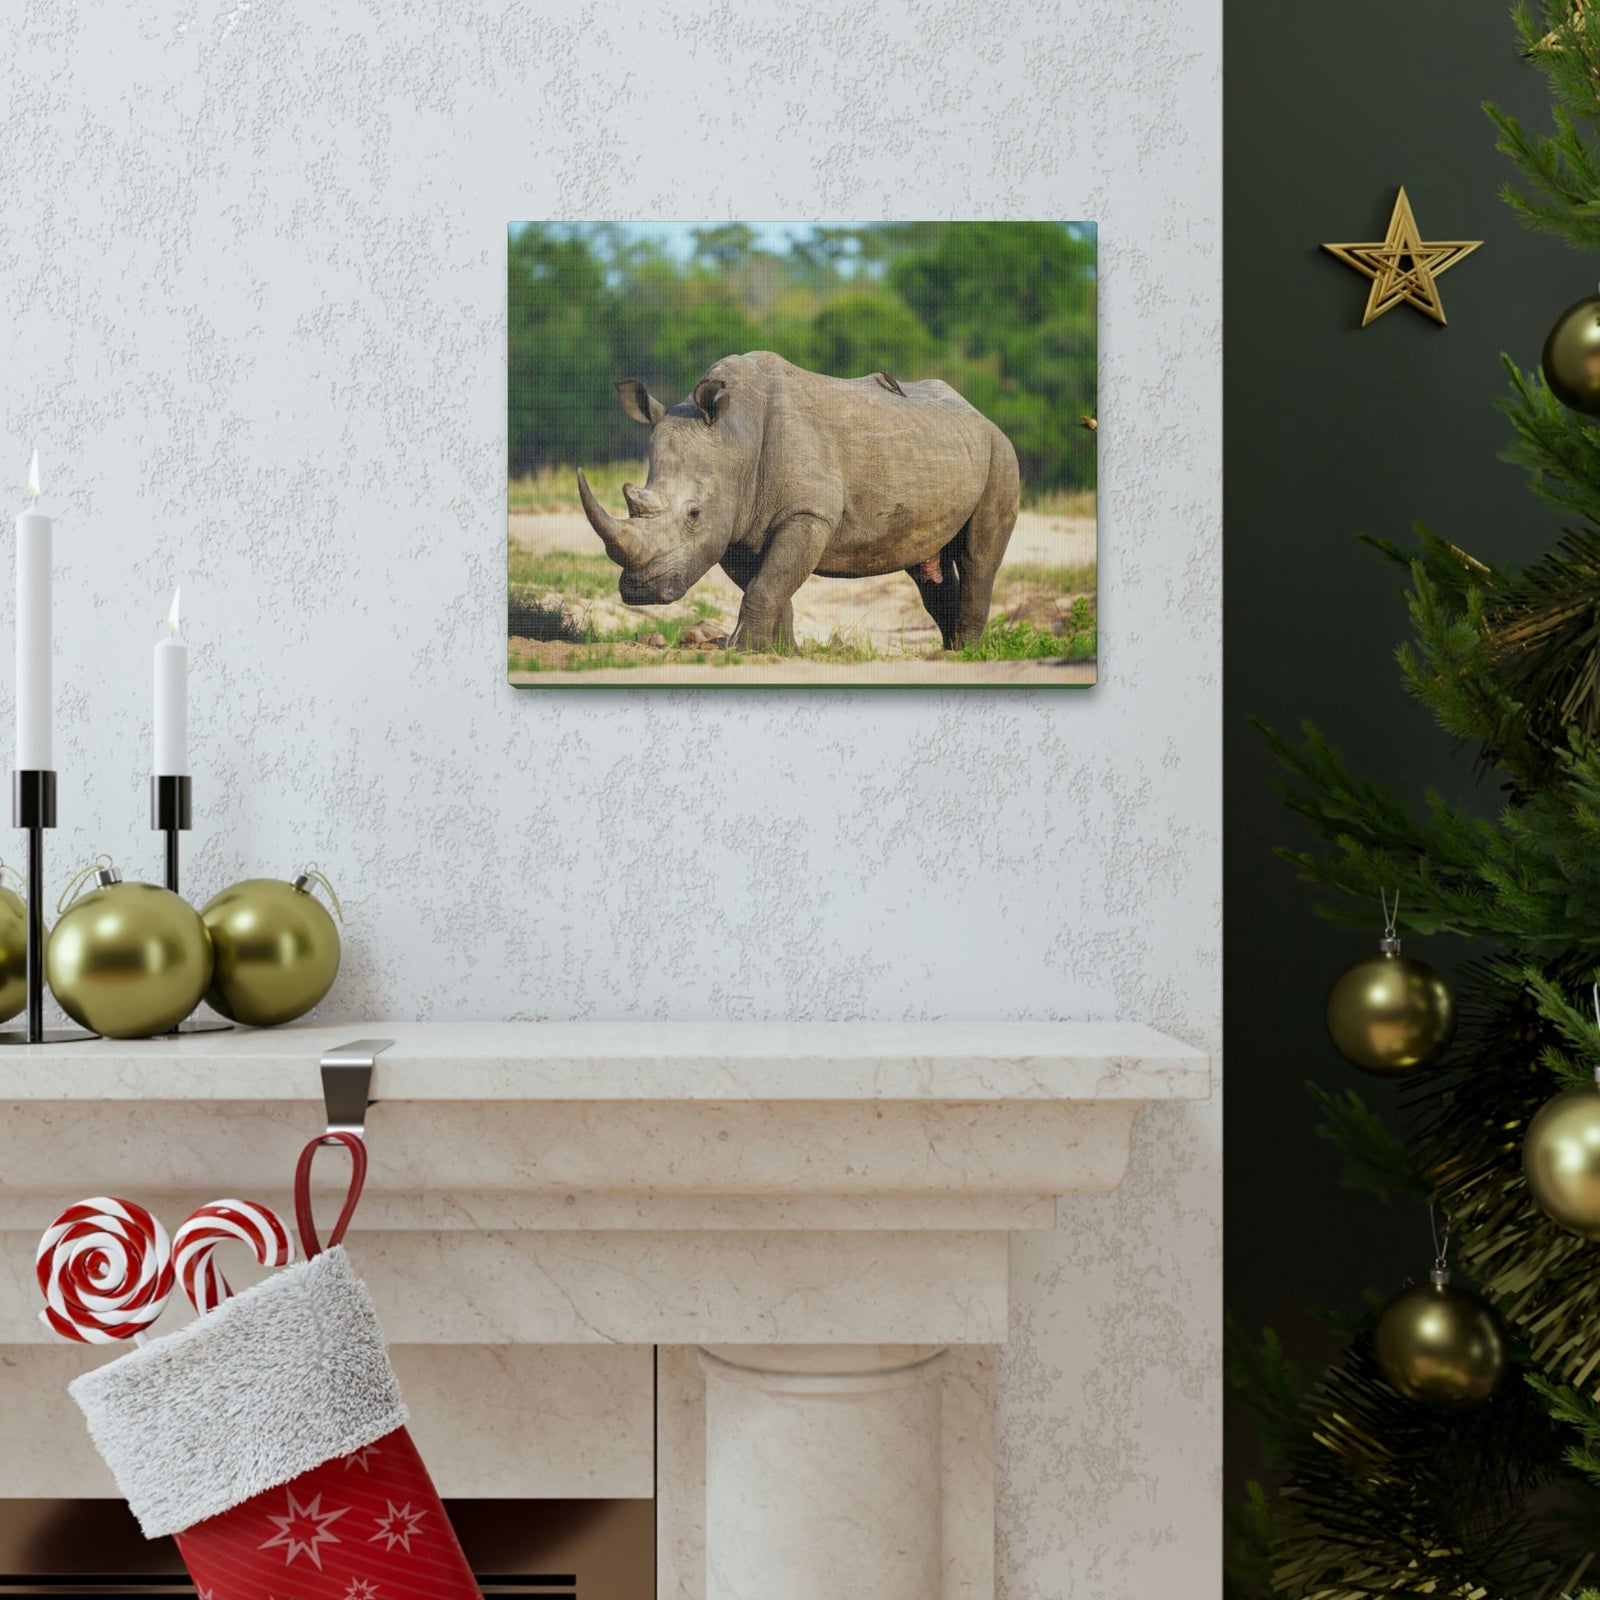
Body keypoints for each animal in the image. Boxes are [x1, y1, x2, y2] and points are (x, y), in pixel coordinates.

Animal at [576, 351, 1020, 651]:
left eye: (694, 513)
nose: (641, 592)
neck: (736, 437)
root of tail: (978, 412)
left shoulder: (807, 513)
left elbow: (768, 583)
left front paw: (743, 649)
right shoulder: (736, 524)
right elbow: (770, 584)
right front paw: (777, 651)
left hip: (1000, 452)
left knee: (979, 559)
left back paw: (966, 655)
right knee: (927, 570)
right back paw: (948, 651)